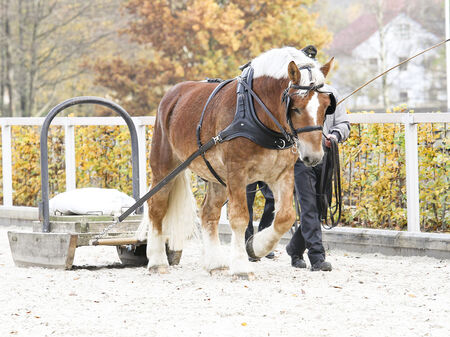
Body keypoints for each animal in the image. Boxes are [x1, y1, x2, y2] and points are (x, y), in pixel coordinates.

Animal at [144, 47, 334, 278]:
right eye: (296, 107)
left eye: (326, 107)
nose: (314, 156)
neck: (256, 113)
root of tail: (172, 95)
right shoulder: (237, 173)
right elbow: (240, 217)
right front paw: (242, 265)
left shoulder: (283, 174)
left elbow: (285, 217)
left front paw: (255, 246)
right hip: (164, 168)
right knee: (156, 207)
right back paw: (157, 261)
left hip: (216, 176)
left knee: (209, 213)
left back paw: (216, 263)